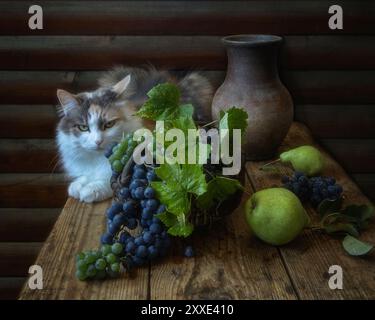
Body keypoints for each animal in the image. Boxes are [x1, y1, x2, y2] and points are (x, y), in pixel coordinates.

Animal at [55, 65, 214, 202]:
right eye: (83, 127)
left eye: (109, 124)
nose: (98, 141)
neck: (97, 159)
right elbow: (85, 176)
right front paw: (78, 185)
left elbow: (107, 179)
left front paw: (91, 190)